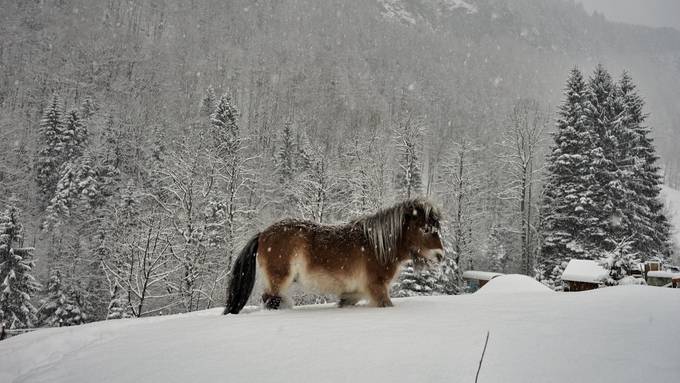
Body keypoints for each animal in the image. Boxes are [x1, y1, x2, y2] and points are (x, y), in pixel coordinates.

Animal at [224, 198, 446, 316]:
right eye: (426, 229)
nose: (440, 256)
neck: (378, 246)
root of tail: (263, 234)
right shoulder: (377, 288)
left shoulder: (355, 292)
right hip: (279, 280)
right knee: (271, 299)